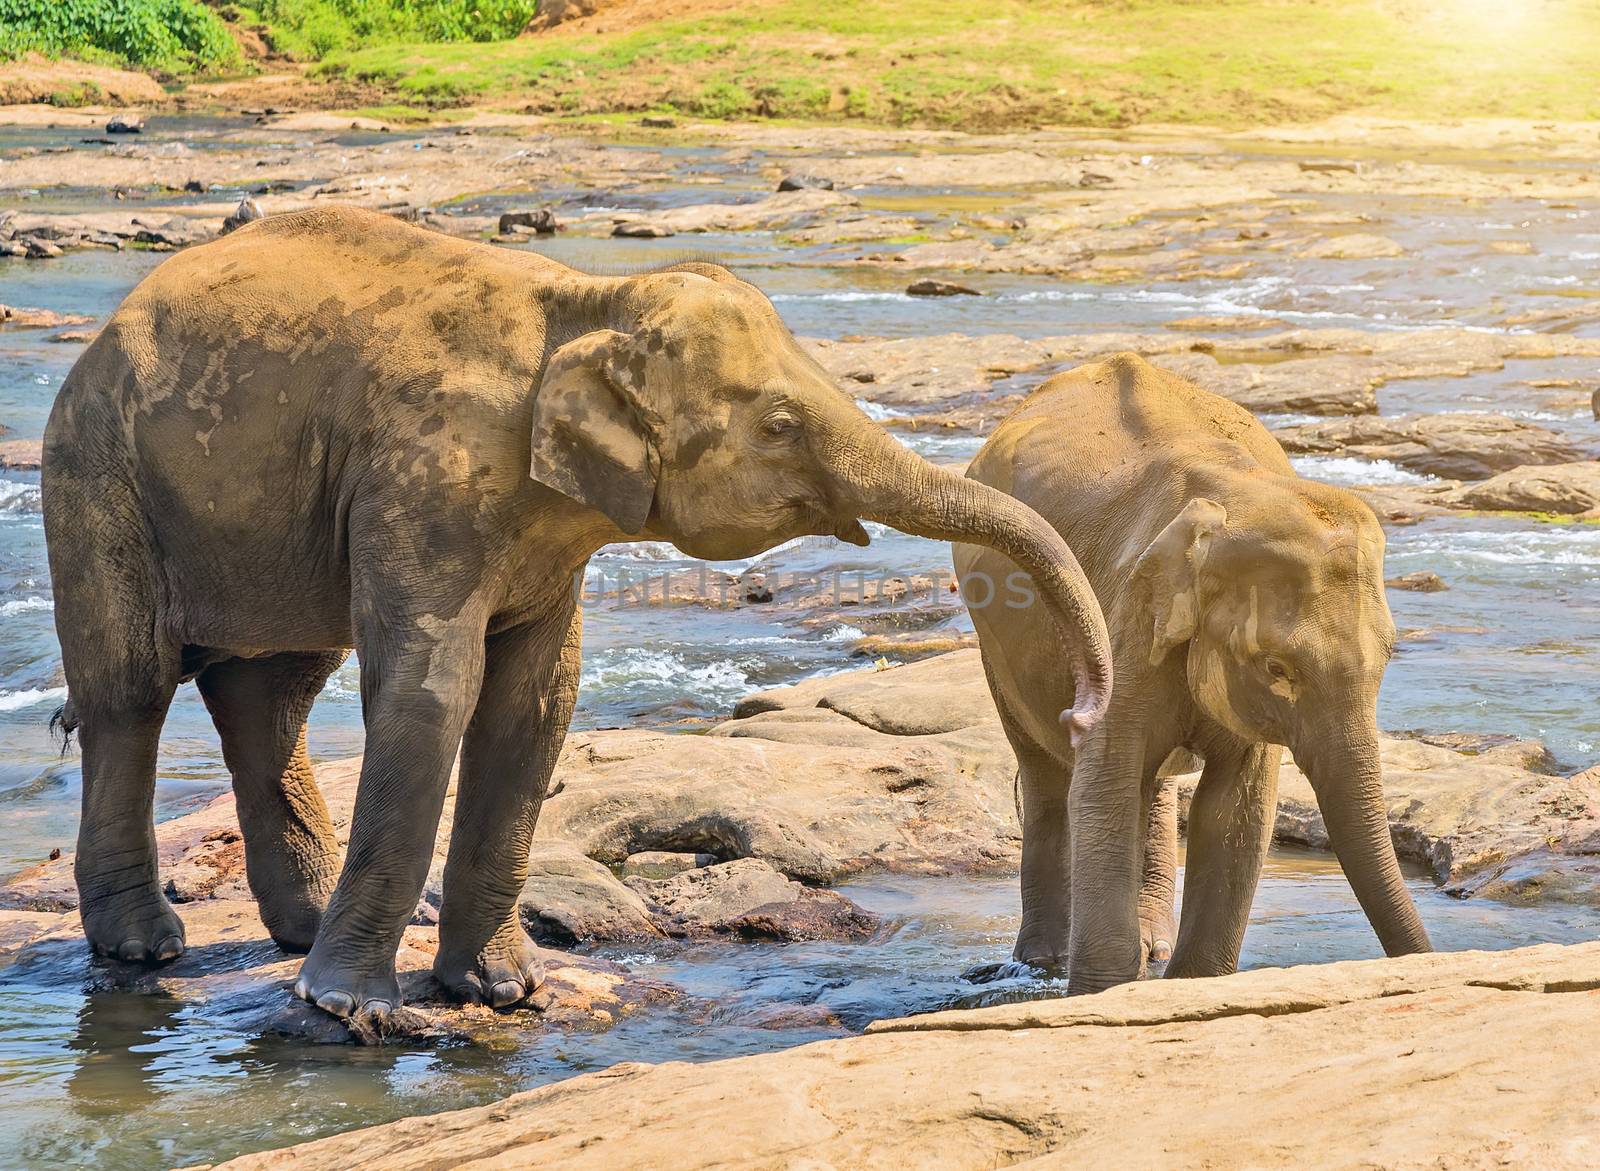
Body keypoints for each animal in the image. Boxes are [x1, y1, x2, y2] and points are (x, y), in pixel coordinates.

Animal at [40, 206, 1113, 1017]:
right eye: (777, 425)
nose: (1081, 707)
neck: (585, 299)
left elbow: (535, 702)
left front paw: (501, 991)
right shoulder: (425, 480)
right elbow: (432, 693)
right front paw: (350, 1010)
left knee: (273, 695)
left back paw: (295, 930)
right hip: (97, 474)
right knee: (132, 690)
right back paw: (146, 950)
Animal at [953, 351, 1433, 991]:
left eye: (1387, 658)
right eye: (1276, 667)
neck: (1237, 492)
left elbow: (1235, 810)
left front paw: (1186, 982)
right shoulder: (1128, 620)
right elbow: (1104, 785)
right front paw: (1106, 990)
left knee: (1149, 784)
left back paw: (1149, 946)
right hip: (994, 642)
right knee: (1048, 773)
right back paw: (1042, 963)